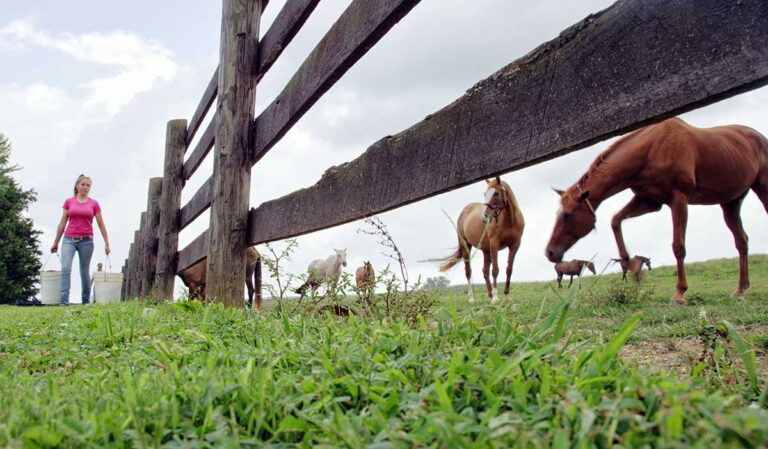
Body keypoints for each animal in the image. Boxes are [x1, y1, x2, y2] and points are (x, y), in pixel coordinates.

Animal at [546, 117, 768, 305]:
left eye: (568, 215)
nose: (550, 252)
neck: (653, 149)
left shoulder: (679, 199)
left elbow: (678, 247)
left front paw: (679, 293)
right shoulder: (649, 201)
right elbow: (615, 220)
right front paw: (630, 264)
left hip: (761, 188)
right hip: (731, 202)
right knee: (741, 242)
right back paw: (740, 289)